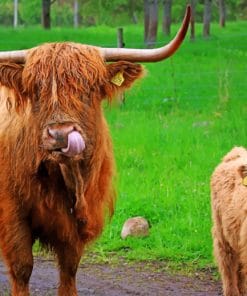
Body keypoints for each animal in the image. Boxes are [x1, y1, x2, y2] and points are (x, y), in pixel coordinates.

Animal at [0, 6, 191, 296]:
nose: (60, 134)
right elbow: (22, 268)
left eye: (89, 89)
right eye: (35, 91)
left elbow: (69, 269)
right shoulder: (12, 214)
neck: (68, 179)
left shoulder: (81, 219)